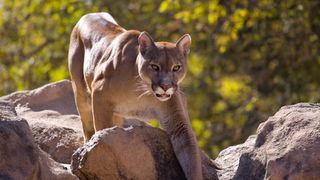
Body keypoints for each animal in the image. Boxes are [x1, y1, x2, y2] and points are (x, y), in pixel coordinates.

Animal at [68, 12, 201, 180]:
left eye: (176, 67)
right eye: (154, 66)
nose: (165, 86)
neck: (143, 91)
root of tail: (90, 14)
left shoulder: (177, 121)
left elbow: (189, 152)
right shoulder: (98, 93)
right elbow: (102, 131)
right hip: (81, 92)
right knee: (87, 124)